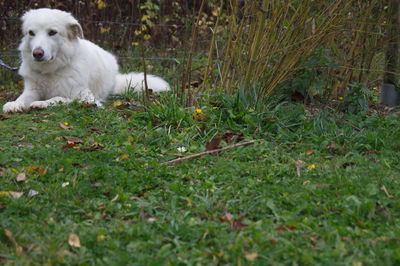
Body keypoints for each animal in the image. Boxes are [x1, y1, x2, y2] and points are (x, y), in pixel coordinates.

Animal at [3, 8, 169, 112]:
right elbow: (23, 98)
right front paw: (14, 104)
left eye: (52, 32)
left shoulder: (87, 99)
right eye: (31, 33)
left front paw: (42, 103)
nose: (37, 53)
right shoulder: (32, 90)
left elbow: (59, 98)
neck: (52, 70)